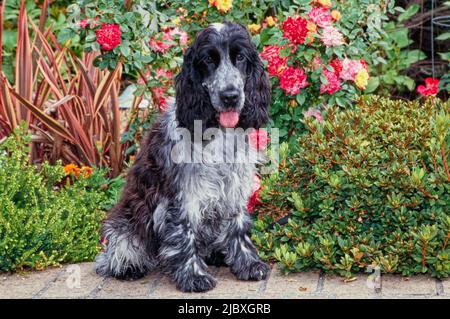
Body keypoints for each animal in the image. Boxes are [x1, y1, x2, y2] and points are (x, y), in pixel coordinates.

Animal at [95, 21, 270, 292]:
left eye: (240, 57)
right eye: (208, 60)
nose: (230, 96)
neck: (216, 130)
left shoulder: (234, 187)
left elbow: (239, 227)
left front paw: (249, 264)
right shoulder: (183, 195)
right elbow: (185, 234)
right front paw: (193, 276)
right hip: (126, 222)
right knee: (114, 252)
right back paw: (128, 266)